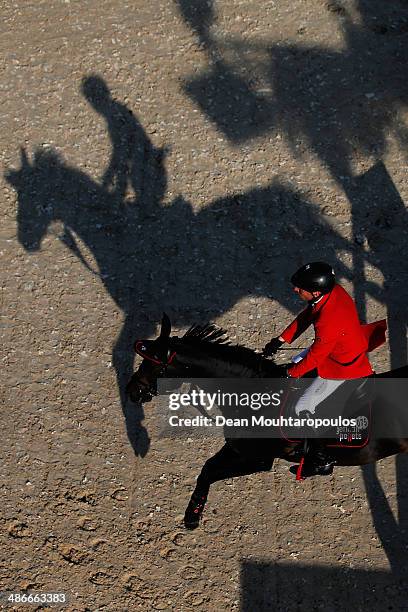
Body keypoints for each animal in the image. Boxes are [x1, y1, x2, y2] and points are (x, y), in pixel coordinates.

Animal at [127, 316, 408, 524]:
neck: (255, 395)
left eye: (154, 365)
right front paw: (193, 513)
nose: (132, 391)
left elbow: (212, 472)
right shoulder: (237, 447)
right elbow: (206, 469)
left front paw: (192, 517)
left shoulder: (258, 459)